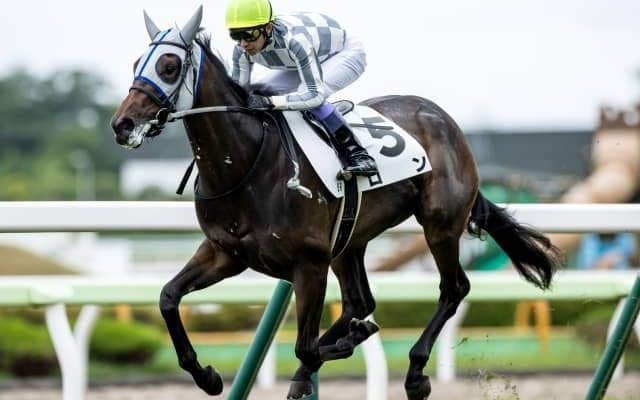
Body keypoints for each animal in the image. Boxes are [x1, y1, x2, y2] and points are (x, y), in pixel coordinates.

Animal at [111, 7, 562, 400]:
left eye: (169, 66)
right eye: (136, 63)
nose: (122, 124)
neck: (247, 163)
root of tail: (442, 119)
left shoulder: (308, 263)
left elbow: (306, 345)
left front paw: (349, 343)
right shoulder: (226, 253)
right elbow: (168, 297)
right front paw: (206, 375)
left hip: (440, 223)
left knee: (454, 288)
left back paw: (414, 373)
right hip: (350, 240)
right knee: (360, 302)